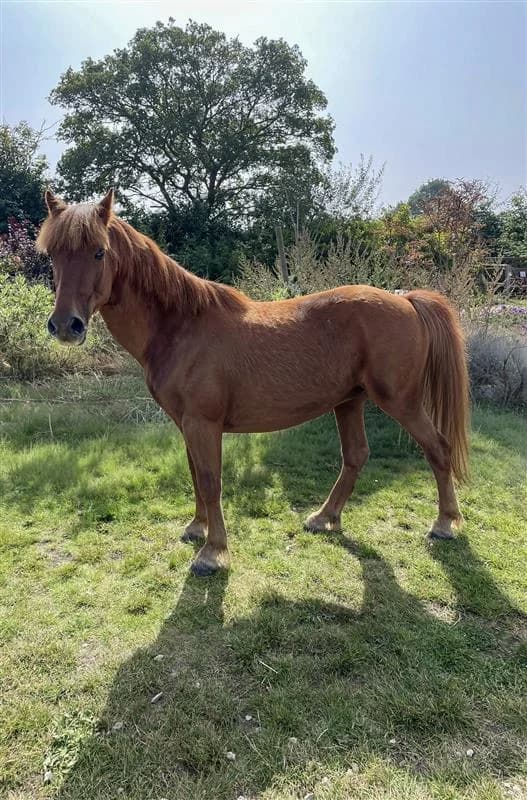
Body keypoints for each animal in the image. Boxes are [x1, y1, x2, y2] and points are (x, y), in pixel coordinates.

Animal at [37, 190, 470, 577]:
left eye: (99, 252)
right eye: (53, 254)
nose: (66, 325)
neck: (180, 326)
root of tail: (406, 299)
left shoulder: (203, 423)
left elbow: (210, 480)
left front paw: (213, 553)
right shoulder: (185, 424)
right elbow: (195, 474)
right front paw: (197, 529)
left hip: (400, 401)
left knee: (437, 448)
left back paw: (445, 523)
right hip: (349, 401)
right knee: (356, 456)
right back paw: (323, 517)